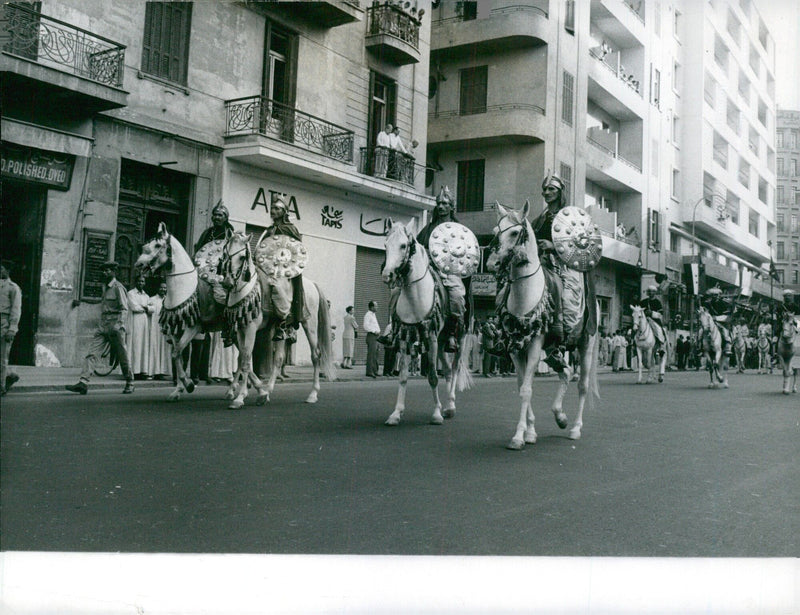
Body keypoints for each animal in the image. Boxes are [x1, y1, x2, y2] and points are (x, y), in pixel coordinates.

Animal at [380, 219, 472, 426]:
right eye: (386, 245)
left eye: (403, 245)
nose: (387, 275)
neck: (415, 295)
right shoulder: (405, 337)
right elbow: (403, 376)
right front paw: (396, 413)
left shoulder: (430, 337)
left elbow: (432, 376)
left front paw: (436, 414)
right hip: (442, 341)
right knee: (447, 370)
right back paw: (448, 407)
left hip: (458, 339)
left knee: (454, 369)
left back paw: (450, 405)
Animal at [484, 205, 596, 450]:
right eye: (496, 231)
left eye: (515, 233)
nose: (491, 264)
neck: (525, 294)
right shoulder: (516, 347)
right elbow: (521, 386)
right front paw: (530, 432)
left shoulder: (535, 345)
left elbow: (526, 390)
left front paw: (518, 437)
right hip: (554, 348)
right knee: (566, 372)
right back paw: (560, 416)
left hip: (586, 343)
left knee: (582, 384)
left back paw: (575, 428)